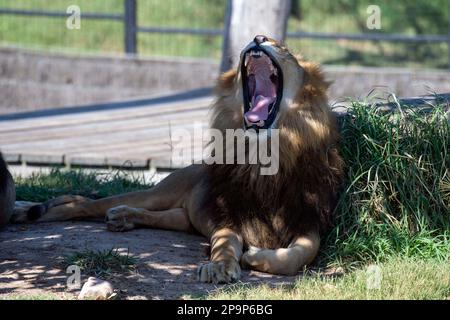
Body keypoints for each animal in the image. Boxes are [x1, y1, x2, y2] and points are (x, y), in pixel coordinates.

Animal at [7, 36, 344, 284]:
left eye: (285, 49)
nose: (259, 38)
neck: (267, 154)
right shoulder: (228, 217)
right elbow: (225, 245)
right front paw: (221, 267)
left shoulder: (308, 219)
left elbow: (299, 255)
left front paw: (255, 256)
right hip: (159, 192)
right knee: (83, 203)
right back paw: (27, 213)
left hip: (183, 216)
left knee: (156, 216)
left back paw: (124, 217)